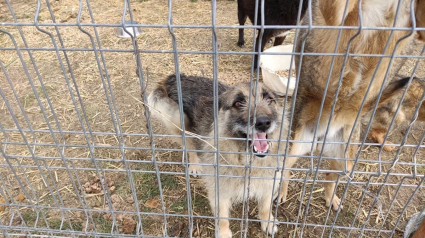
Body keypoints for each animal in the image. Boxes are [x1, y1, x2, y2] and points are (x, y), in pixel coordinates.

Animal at [280, 0, 425, 210]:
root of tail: (321, 140)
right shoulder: (335, 16)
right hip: (290, 152)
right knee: (285, 173)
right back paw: (281, 193)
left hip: (345, 164)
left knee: (329, 177)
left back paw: (331, 199)